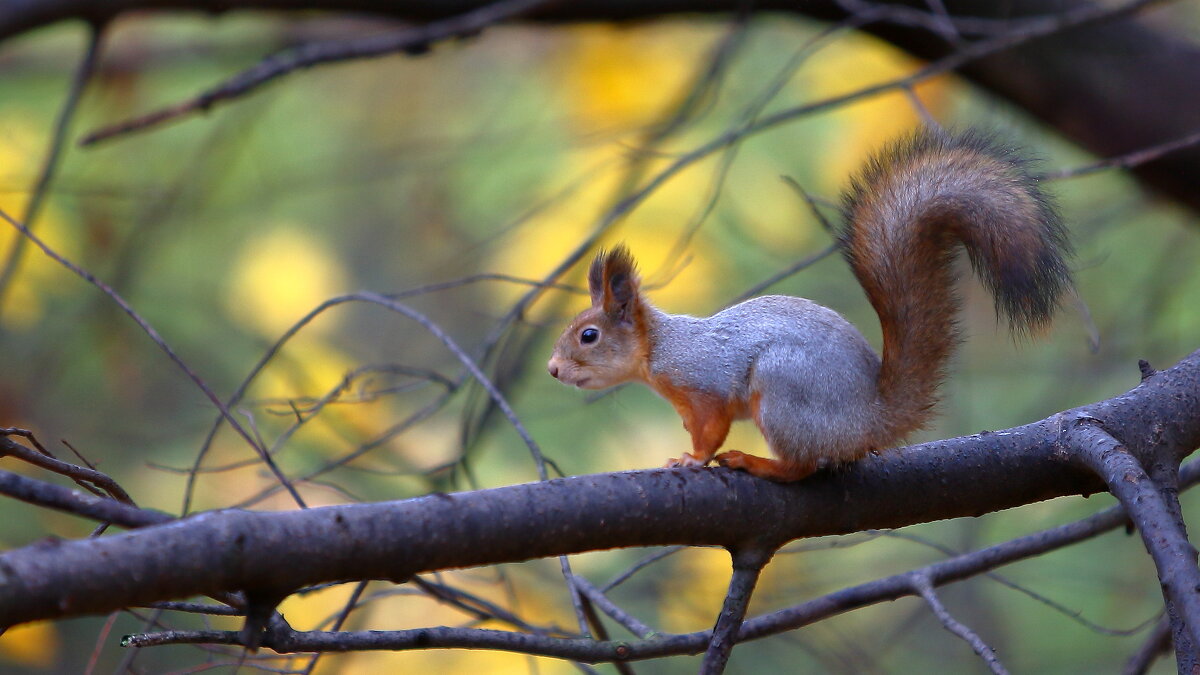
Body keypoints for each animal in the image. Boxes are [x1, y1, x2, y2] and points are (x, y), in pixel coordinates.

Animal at [549, 128, 1075, 480]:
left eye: (589, 335)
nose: (553, 370)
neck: (660, 346)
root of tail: (868, 419)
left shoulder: (705, 385)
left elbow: (711, 429)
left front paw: (693, 457)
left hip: (782, 389)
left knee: (803, 468)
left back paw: (755, 461)